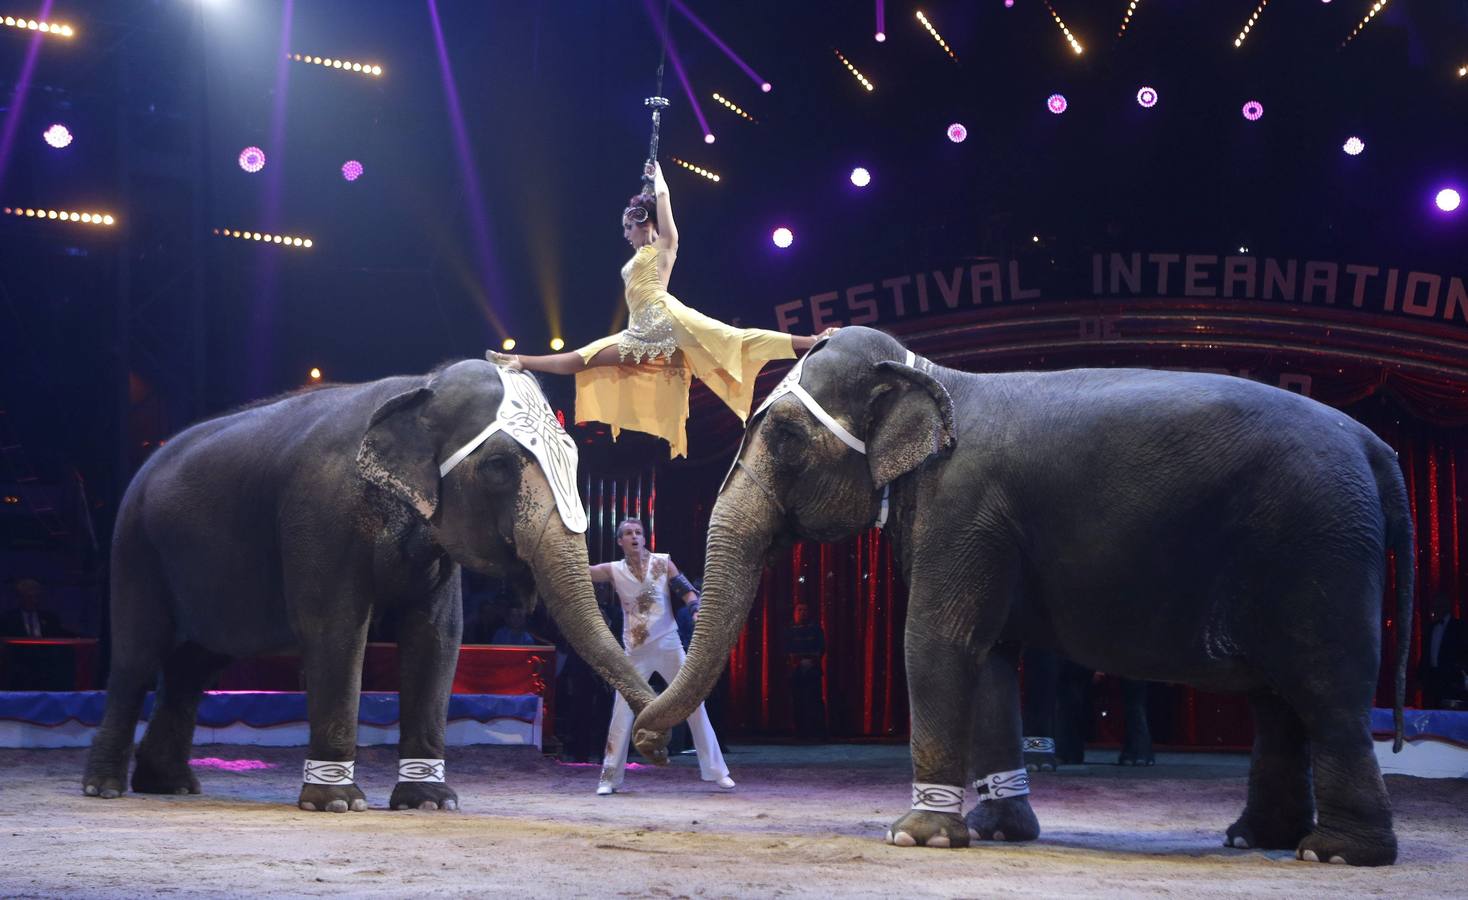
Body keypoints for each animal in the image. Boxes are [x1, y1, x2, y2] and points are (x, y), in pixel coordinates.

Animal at [83, 359, 669, 816]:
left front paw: (430, 802)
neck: (419, 387)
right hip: (135, 546)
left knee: (192, 668)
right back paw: (106, 788)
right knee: (139, 657)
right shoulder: (320, 514)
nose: (655, 745)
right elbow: (337, 627)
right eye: (500, 465)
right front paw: (337, 802)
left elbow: (437, 635)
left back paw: (171, 785)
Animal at [637, 328, 1415, 863]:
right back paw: (1254, 838)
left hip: (1319, 545)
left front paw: (917, 837)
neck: (933, 374)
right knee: (1278, 702)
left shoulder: (963, 508)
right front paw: (996, 830)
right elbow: (989, 658)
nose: (647, 744)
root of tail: (1376, 447)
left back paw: (1335, 852)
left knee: (1327, 689)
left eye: (785, 438)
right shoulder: (980, 529)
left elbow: (935, 644)